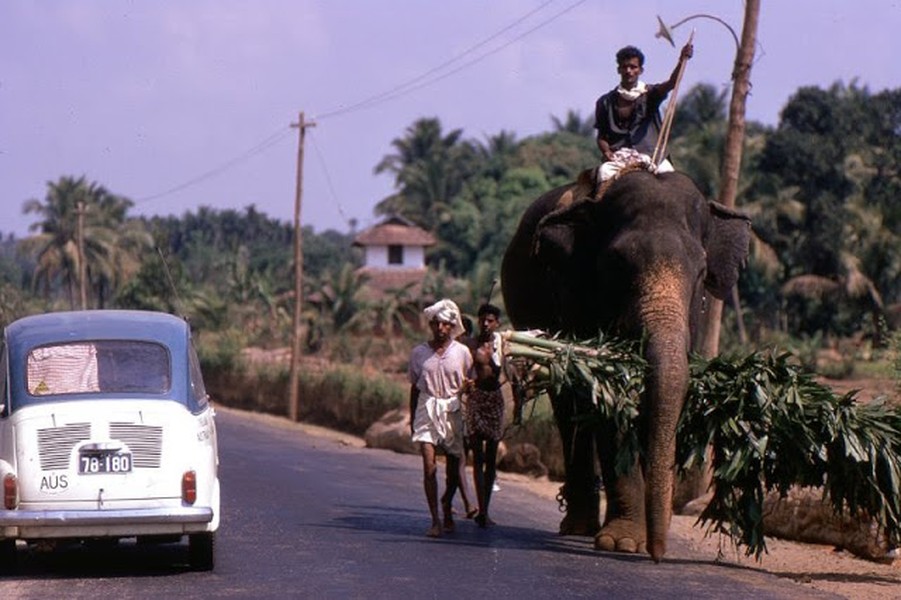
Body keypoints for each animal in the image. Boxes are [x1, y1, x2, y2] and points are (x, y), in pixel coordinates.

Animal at [502, 168, 748, 564]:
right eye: (617, 266)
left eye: (701, 272)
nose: (659, 555)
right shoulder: (574, 296)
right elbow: (607, 403)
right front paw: (624, 543)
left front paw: (643, 537)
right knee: (569, 402)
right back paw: (579, 528)